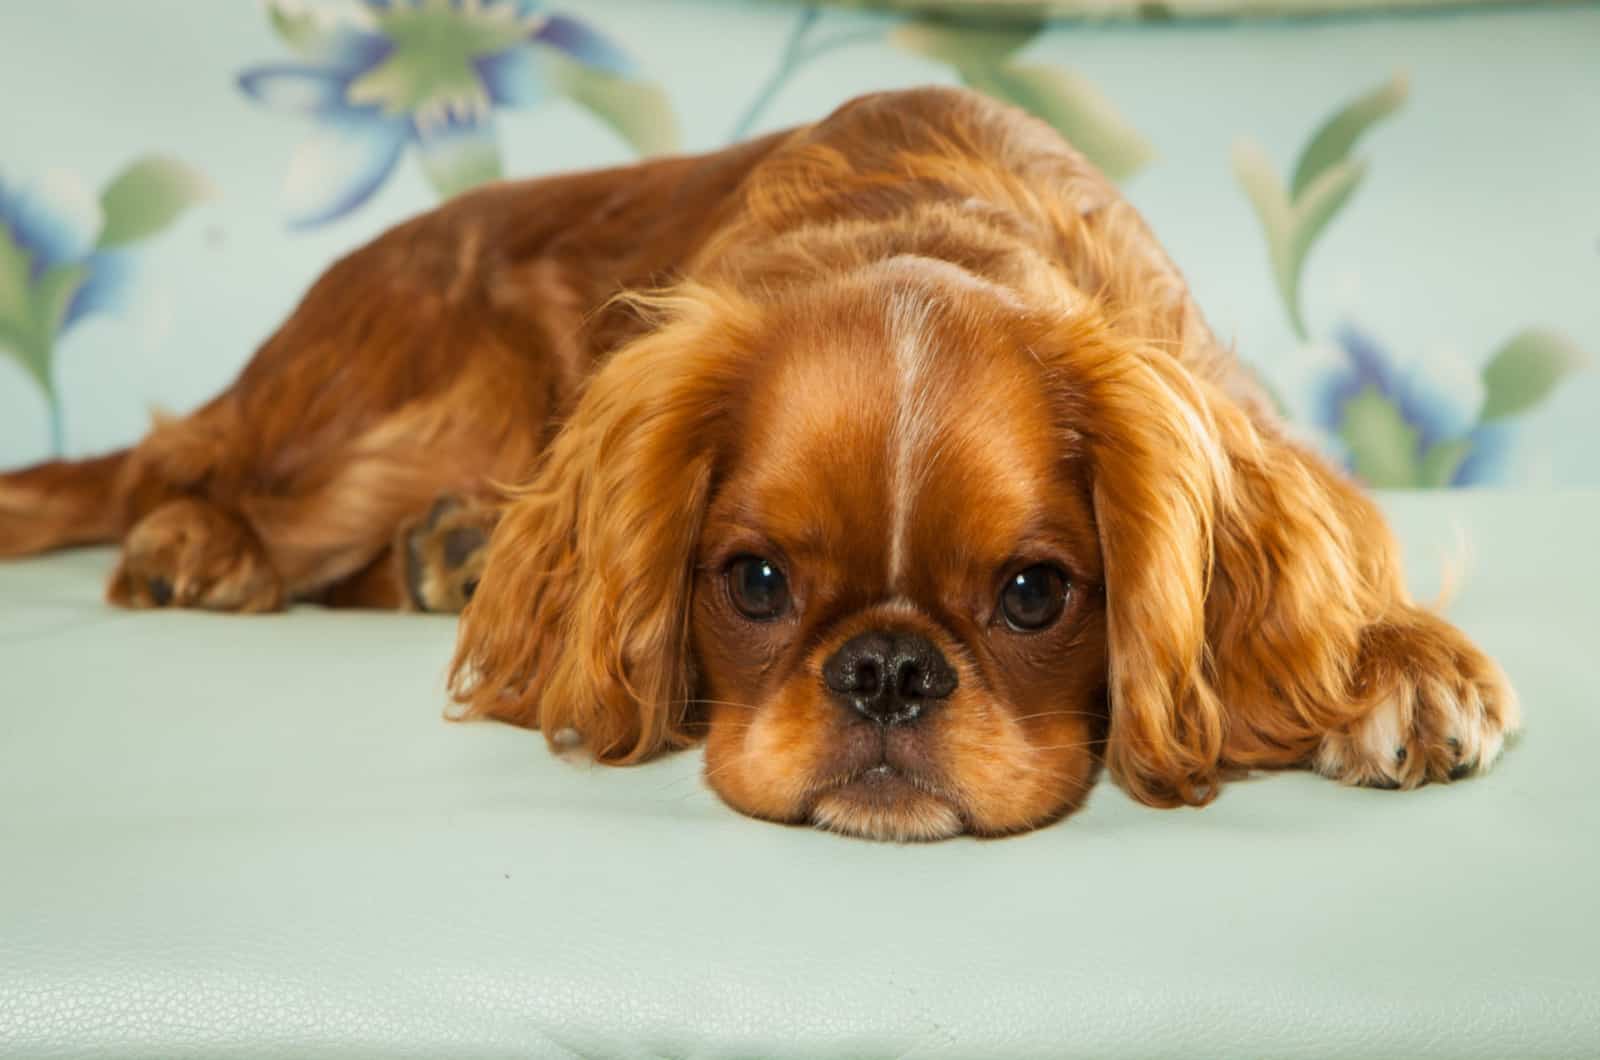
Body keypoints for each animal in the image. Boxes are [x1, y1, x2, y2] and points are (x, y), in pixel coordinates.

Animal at [0, 89, 1516, 839]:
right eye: (756, 584)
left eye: (1034, 595)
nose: (888, 671)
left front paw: (1392, 662)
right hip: (408, 410)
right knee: (188, 471)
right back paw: (208, 543)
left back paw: (450, 551)